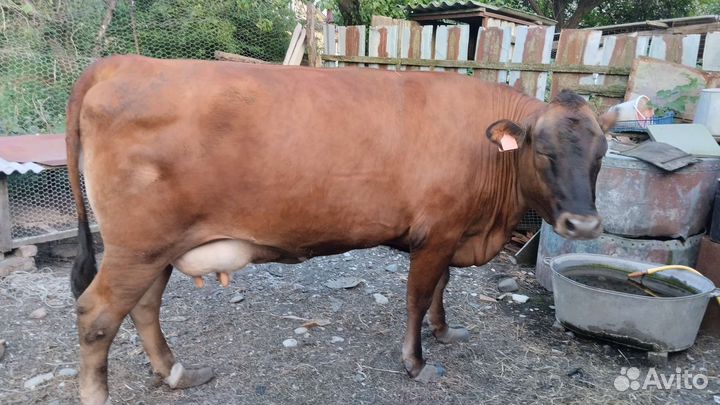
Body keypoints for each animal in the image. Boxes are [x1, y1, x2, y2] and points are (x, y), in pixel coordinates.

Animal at [66, 55, 614, 404]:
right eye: (543, 151)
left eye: (601, 154)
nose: (584, 223)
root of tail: (123, 61)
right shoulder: (436, 234)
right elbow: (419, 295)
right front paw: (416, 362)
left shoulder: (452, 233)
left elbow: (443, 286)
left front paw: (444, 332)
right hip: (137, 246)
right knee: (97, 315)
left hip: (152, 249)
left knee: (144, 307)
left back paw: (179, 374)